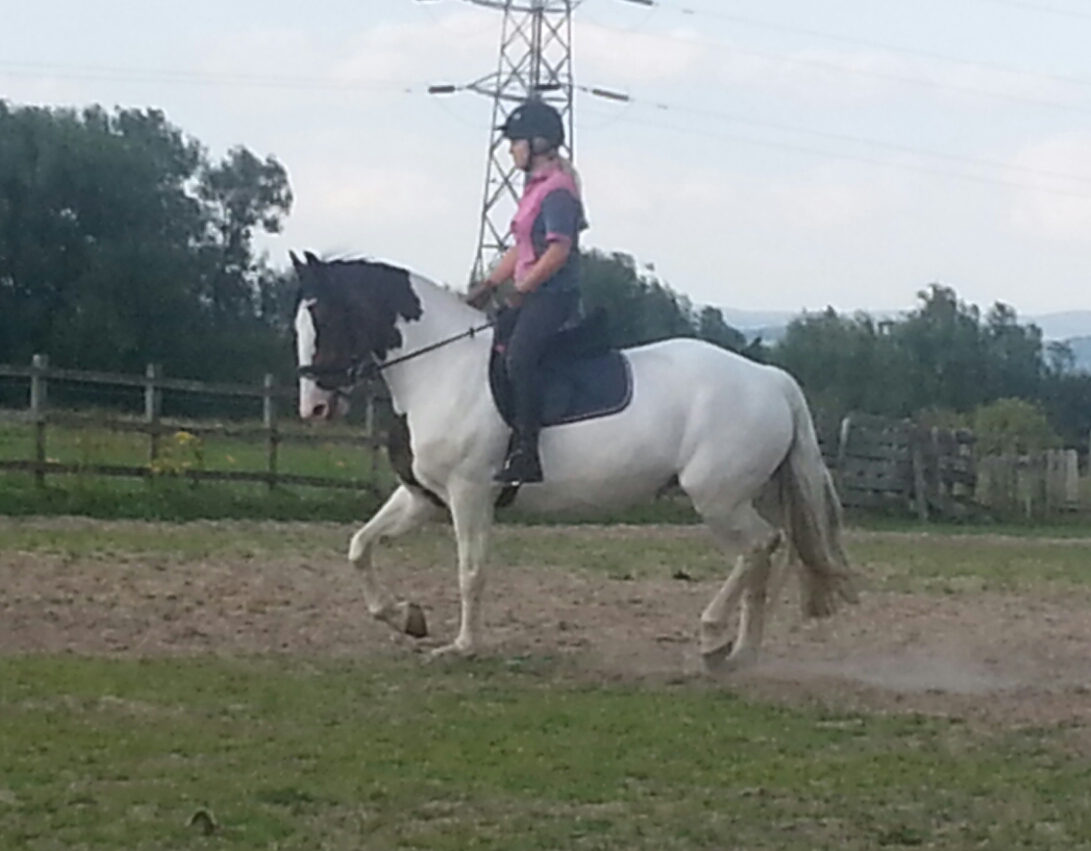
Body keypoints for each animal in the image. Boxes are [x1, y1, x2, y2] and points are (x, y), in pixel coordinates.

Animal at [291, 251, 856, 670]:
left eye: (323, 317)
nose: (313, 407)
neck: (440, 368)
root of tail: (769, 378)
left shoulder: (469, 494)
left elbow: (471, 570)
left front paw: (462, 646)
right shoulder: (424, 495)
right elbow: (360, 546)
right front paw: (405, 616)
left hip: (717, 497)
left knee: (758, 547)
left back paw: (713, 637)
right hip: (741, 495)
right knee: (765, 554)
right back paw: (739, 653)